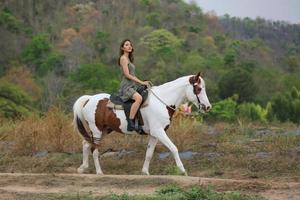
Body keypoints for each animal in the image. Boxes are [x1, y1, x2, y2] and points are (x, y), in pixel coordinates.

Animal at [72, 72, 211, 175]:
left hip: (105, 130)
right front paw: (182, 170)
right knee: (94, 149)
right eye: (198, 89)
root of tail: (89, 98)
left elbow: (149, 153)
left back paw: (82, 168)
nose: (208, 107)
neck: (162, 101)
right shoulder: (158, 131)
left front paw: (145, 172)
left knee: (86, 144)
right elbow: (173, 148)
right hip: (96, 130)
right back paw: (99, 172)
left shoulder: (155, 134)